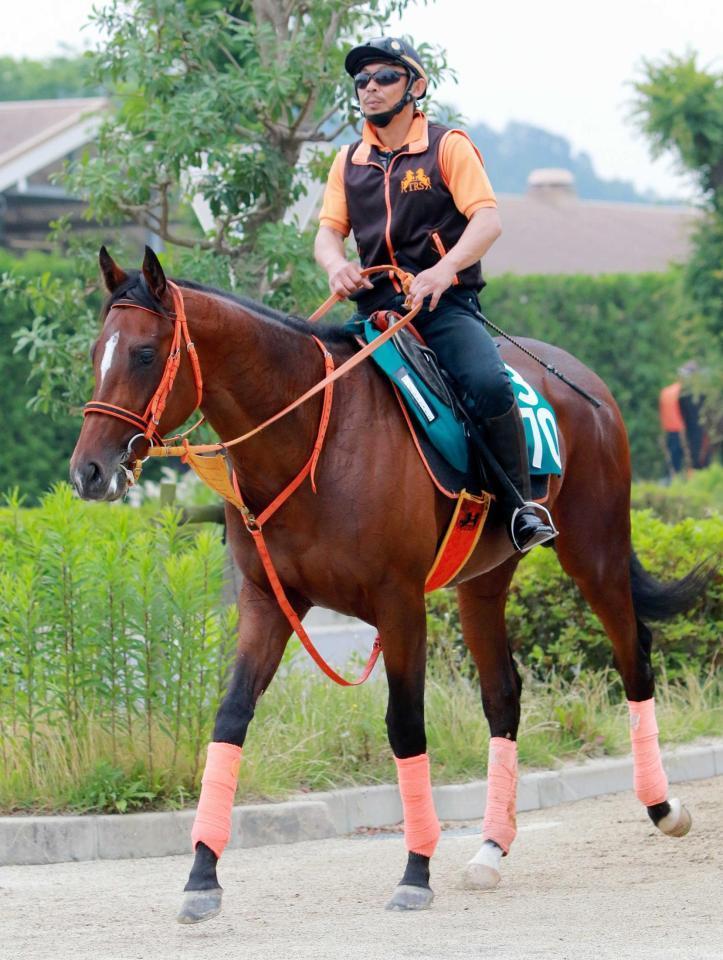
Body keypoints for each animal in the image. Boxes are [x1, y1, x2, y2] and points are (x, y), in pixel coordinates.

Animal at [69, 248, 708, 924]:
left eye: (143, 354)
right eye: (96, 352)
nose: (88, 472)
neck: (313, 438)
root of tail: (585, 380)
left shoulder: (399, 605)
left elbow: (405, 725)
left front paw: (416, 870)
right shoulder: (268, 602)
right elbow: (231, 718)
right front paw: (201, 875)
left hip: (595, 554)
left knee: (634, 658)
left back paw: (663, 807)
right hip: (483, 583)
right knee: (503, 695)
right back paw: (489, 848)